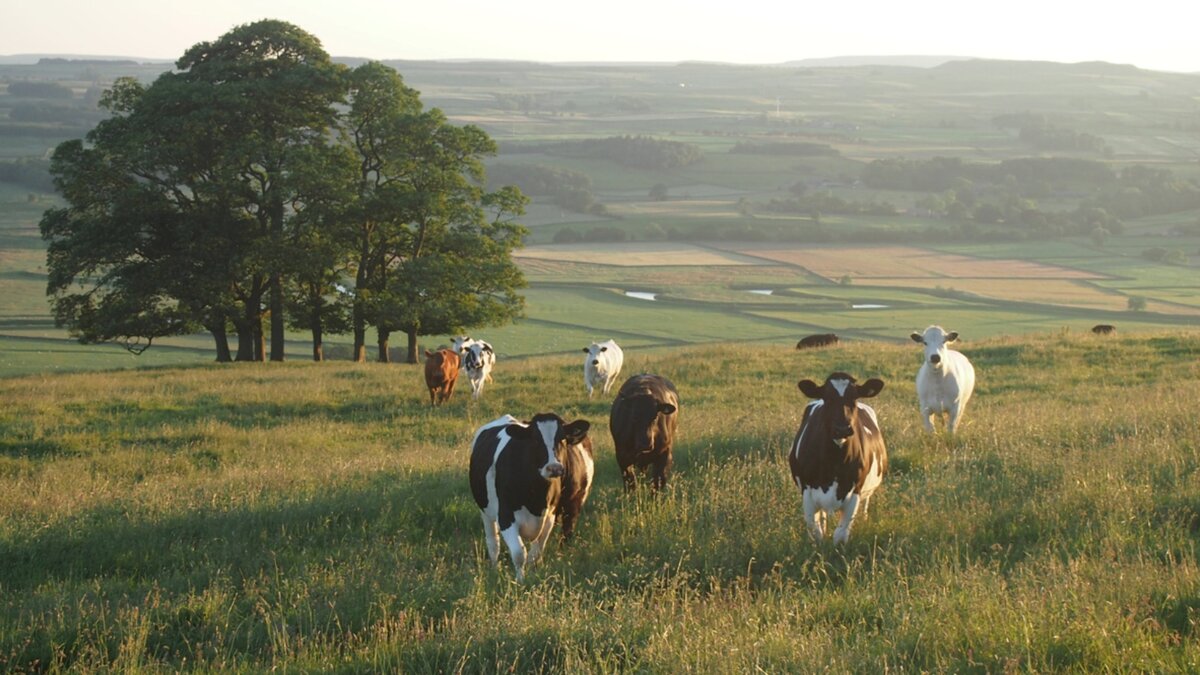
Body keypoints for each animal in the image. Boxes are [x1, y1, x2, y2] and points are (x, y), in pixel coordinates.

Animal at [472, 410, 595, 578]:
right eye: (535, 439)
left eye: (562, 438)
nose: (554, 468)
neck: (536, 496)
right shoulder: (505, 516)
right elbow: (519, 553)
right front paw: (520, 580)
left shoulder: (550, 516)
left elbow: (535, 553)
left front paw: (533, 575)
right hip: (485, 511)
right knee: (493, 543)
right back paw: (494, 569)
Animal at [787, 369, 892, 542]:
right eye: (827, 397)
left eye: (854, 398)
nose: (842, 428)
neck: (834, 462)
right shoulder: (807, 493)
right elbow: (816, 533)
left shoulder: (855, 493)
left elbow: (840, 535)